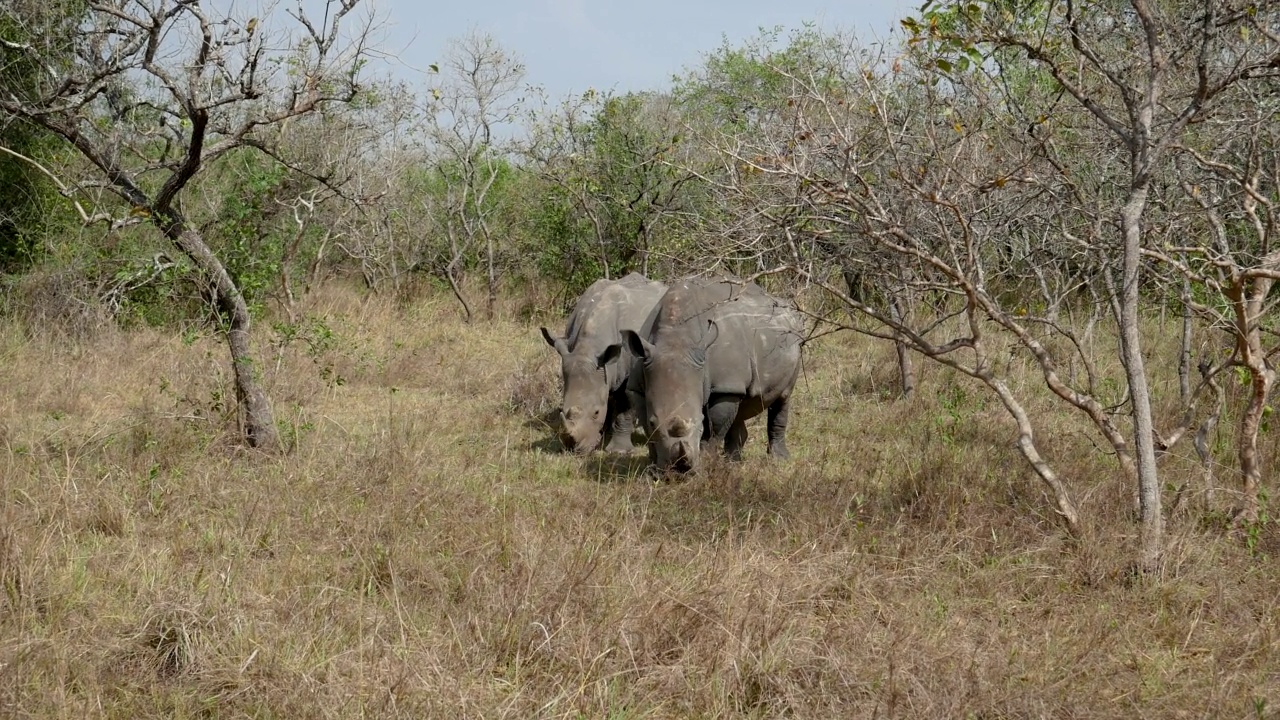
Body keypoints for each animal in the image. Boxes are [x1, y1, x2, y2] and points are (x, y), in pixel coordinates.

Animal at [537, 271, 665, 450]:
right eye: (563, 408)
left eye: (596, 413)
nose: (574, 448)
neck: (590, 346)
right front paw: (602, 436)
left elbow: (624, 406)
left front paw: (619, 450)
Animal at [619, 274, 798, 471]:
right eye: (654, 423)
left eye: (700, 422)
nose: (680, 468)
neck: (676, 339)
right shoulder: (637, 384)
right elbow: (645, 425)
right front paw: (654, 469)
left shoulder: (724, 384)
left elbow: (715, 428)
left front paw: (703, 466)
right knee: (740, 406)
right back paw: (732, 463)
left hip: (791, 341)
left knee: (783, 397)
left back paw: (779, 459)